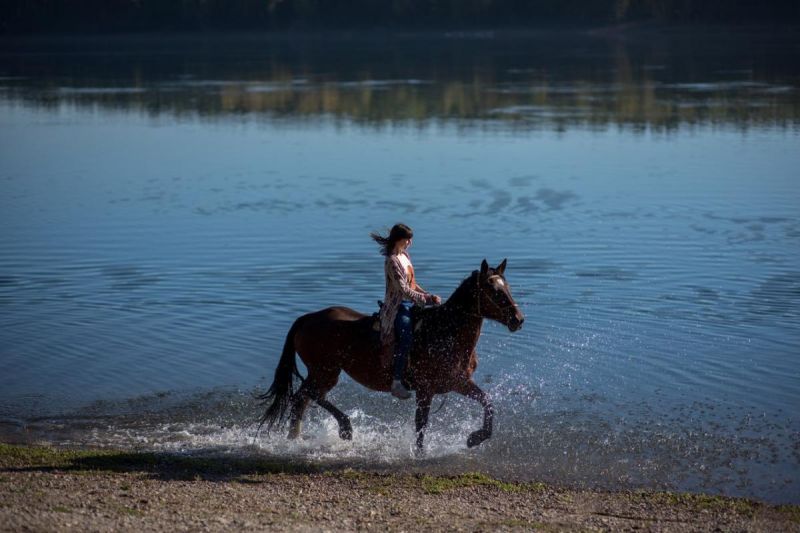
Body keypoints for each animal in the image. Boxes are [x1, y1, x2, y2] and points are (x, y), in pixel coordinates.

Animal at [258, 258, 524, 448]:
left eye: (508, 287)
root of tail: (305, 319)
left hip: (324, 373)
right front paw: (420, 455)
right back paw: (345, 428)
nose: (518, 319)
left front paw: (474, 438)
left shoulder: (458, 382)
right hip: (325, 372)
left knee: (302, 400)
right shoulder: (425, 390)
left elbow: (487, 402)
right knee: (306, 396)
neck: (445, 332)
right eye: (494, 290)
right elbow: (421, 426)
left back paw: (297, 438)